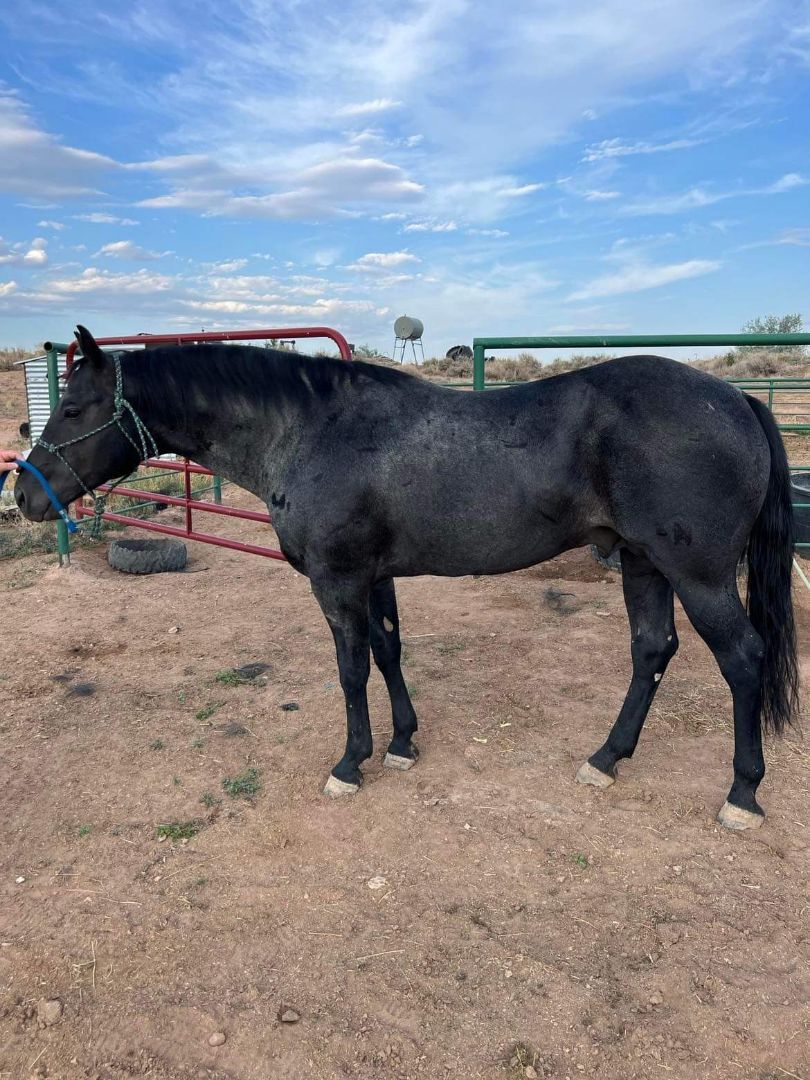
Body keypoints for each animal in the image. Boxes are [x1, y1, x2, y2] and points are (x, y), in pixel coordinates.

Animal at [16, 326, 798, 830]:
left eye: (74, 407)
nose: (23, 495)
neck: (309, 430)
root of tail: (735, 399)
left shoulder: (337, 581)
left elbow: (351, 668)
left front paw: (350, 762)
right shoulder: (376, 576)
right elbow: (389, 650)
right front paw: (401, 744)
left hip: (697, 576)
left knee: (742, 659)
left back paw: (742, 794)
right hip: (641, 563)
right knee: (651, 651)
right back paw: (605, 759)